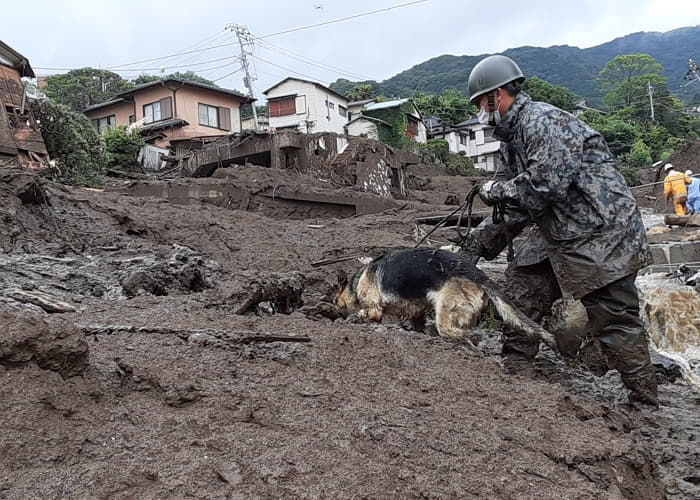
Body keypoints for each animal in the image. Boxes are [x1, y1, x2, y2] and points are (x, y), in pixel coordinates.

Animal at [334, 247, 556, 350]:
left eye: (336, 302)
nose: (335, 310)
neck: (358, 280)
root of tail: (477, 274)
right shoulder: (416, 310)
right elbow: (416, 321)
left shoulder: (374, 309)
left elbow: (366, 314)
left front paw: (350, 320)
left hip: (447, 312)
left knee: (462, 334)